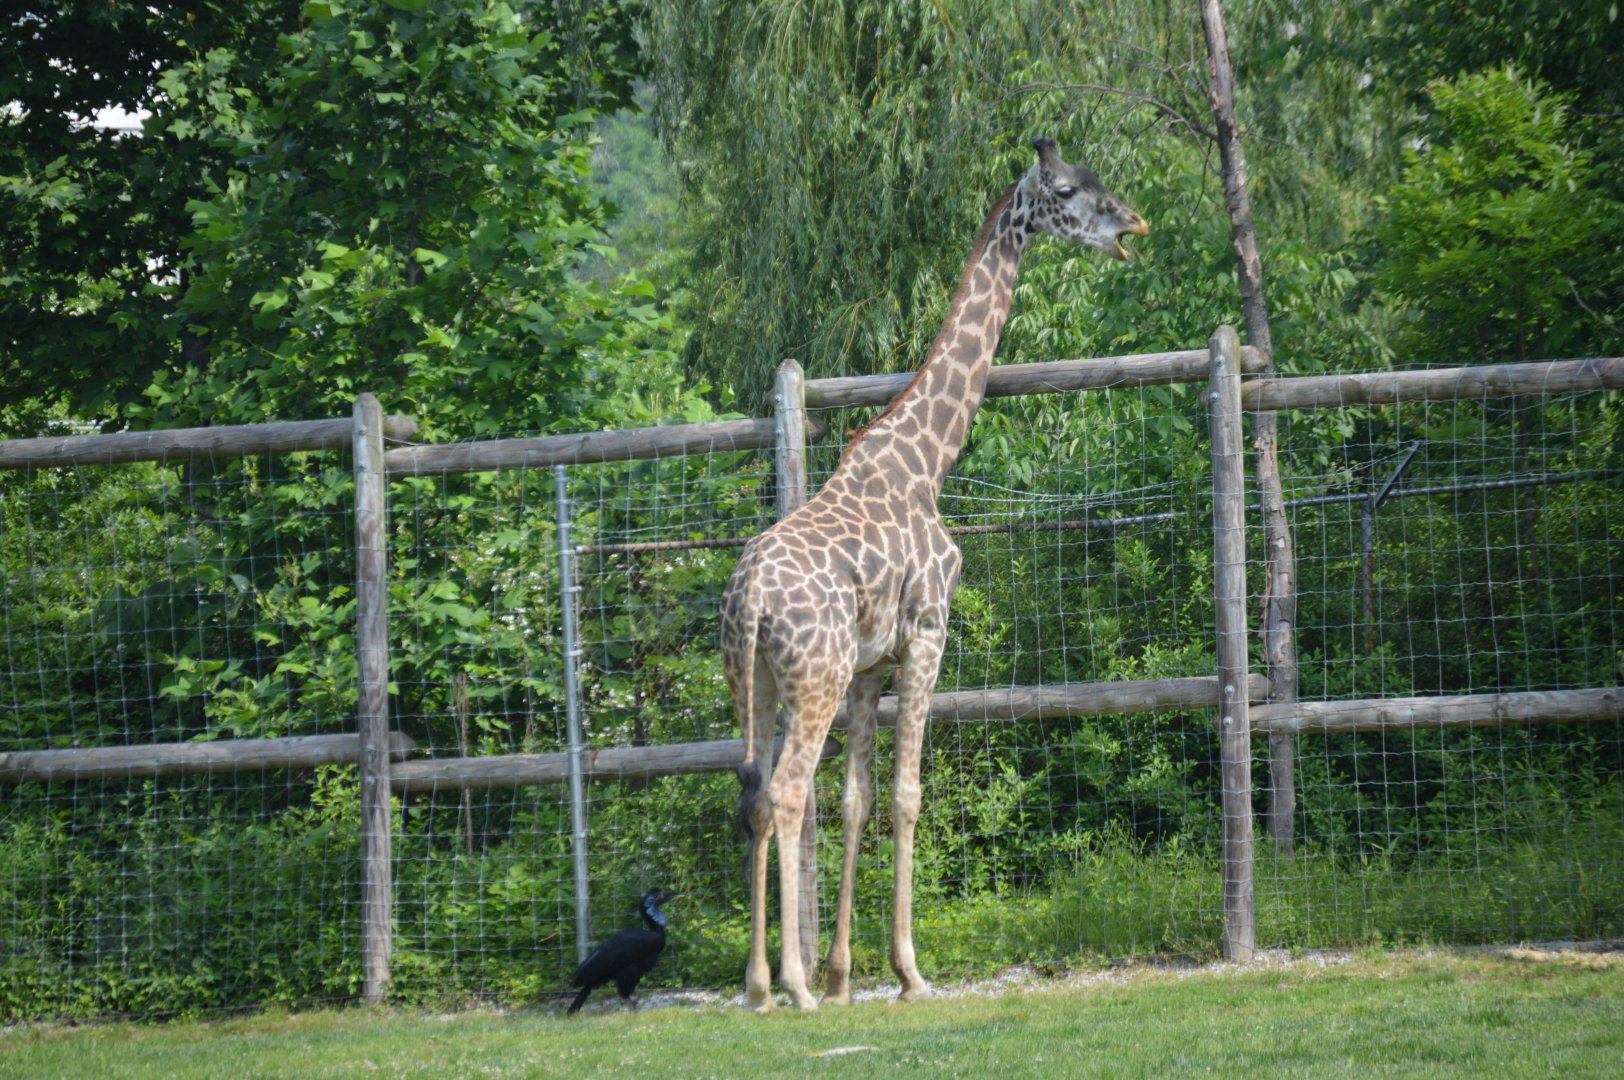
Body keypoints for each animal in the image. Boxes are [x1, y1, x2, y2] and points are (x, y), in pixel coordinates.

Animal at [719, 138, 1149, 1012]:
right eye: (1065, 190)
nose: (1133, 224)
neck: (929, 461)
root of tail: (748, 601)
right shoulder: (927, 633)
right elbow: (908, 795)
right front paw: (908, 972)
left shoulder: (867, 667)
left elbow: (857, 800)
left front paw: (845, 976)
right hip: (811, 677)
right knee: (786, 792)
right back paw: (792, 987)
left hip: (760, 681)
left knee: (753, 794)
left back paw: (758, 985)